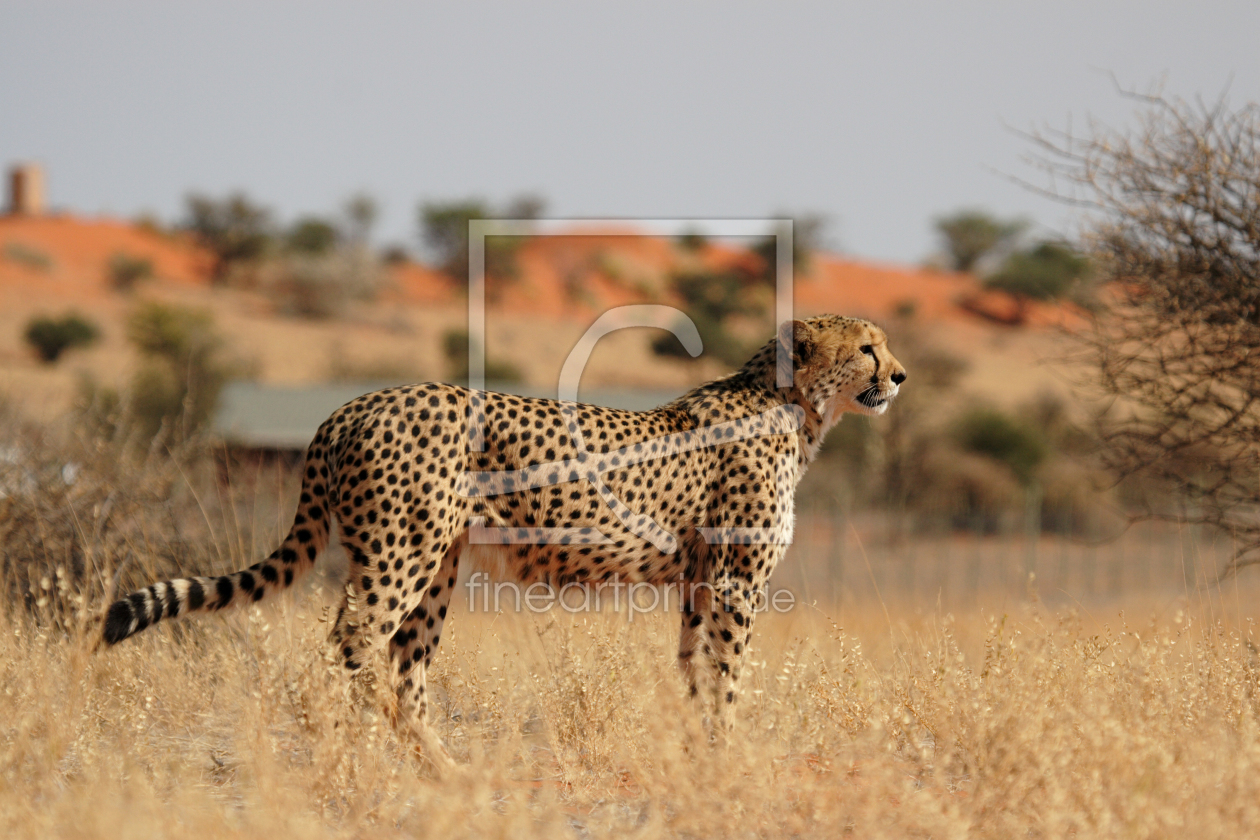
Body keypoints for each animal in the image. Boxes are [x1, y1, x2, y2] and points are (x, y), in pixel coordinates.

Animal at [100, 313, 907, 755]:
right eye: (867, 348)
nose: (901, 375)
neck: (794, 405)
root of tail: (354, 404)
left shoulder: (700, 580)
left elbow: (694, 671)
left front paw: (696, 750)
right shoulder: (736, 582)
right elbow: (727, 676)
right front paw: (727, 755)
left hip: (435, 567)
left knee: (406, 675)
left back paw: (443, 774)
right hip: (401, 554)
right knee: (349, 646)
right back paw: (353, 755)